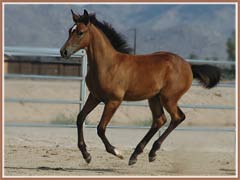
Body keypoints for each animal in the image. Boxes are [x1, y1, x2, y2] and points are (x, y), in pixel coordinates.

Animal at [60, 9, 221, 165]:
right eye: (69, 30)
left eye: (80, 32)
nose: (64, 52)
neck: (107, 65)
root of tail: (188, 66)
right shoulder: (94, 96)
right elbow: (80, 118)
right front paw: (86, 155)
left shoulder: (113, 101)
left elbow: (100, 128)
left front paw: (117, 152)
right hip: (154, 98)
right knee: (160, 120)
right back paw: (138, 155)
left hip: (169, 98)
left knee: (177, 117)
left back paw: (150, 152)